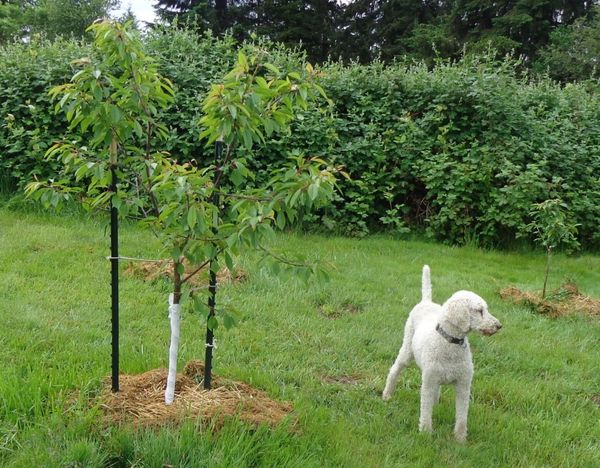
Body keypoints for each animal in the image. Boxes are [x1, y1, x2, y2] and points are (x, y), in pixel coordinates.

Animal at [384, 266, 502, 440]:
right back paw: (387, 395)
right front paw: (425, 433)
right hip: (407, 350)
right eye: (479, 310)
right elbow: (426, 411)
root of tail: (426, 301)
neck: (450, 342)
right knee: (394, 370)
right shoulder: (428, 382)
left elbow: (462, 415)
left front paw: (460, 439)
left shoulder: (463, 384)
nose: (499, 326)